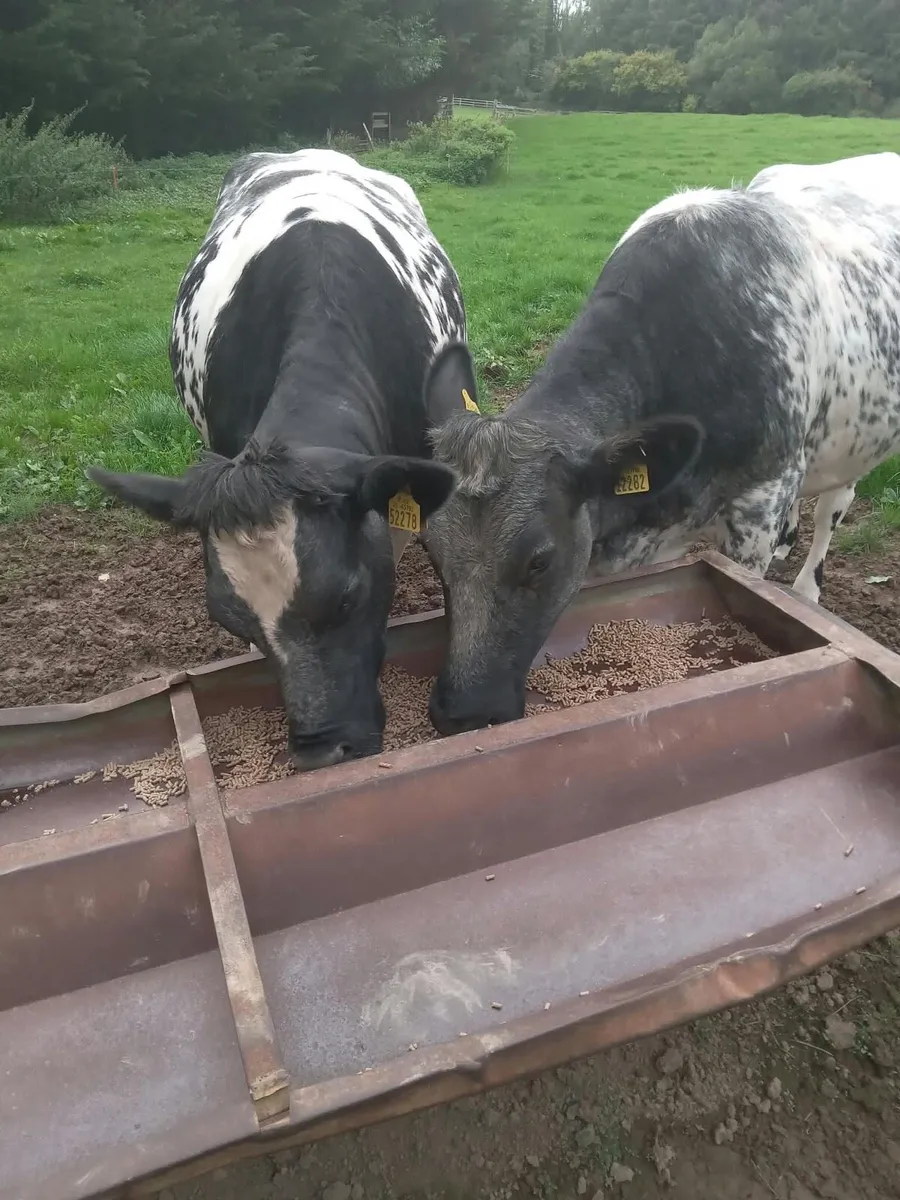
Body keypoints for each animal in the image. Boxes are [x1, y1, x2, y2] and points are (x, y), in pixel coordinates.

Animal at [421, 151, 900, 734]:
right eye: (430, 552)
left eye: (539, 561)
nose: (461, 713)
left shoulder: (758, 512)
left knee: (834, 507)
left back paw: (807, 587)